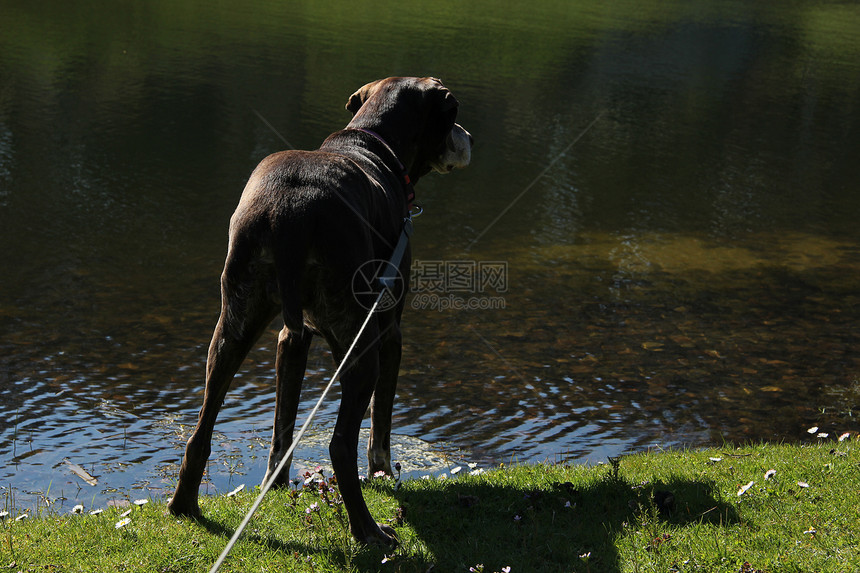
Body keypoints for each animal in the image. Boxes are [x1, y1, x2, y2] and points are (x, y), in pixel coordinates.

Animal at [169, 77, 474, 544]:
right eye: (452, 113)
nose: (470, 137)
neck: (371, 142)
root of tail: (287, 212)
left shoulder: (292, 338)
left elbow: (282, 427)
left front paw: (276, 487)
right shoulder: (390, 332)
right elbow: (380, 427)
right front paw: (384, 476)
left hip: (232, 328)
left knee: (201, 431)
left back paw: (183, 506)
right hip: (360, 348)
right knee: (340, 444)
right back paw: (369, 532)